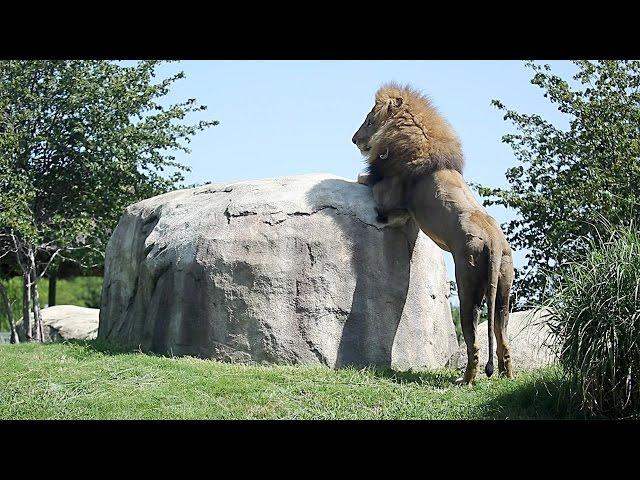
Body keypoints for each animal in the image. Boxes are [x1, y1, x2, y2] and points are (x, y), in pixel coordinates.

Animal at [352, 81, 512, 382]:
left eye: (368, 121)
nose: (354, 140)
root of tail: (495, 240)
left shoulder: (389, 198)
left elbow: (365, 180)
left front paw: (361, 175)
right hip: (504, 290)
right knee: (503, 339)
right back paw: (507, 377)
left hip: (468, 282)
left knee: (473, 341)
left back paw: (465, 381)